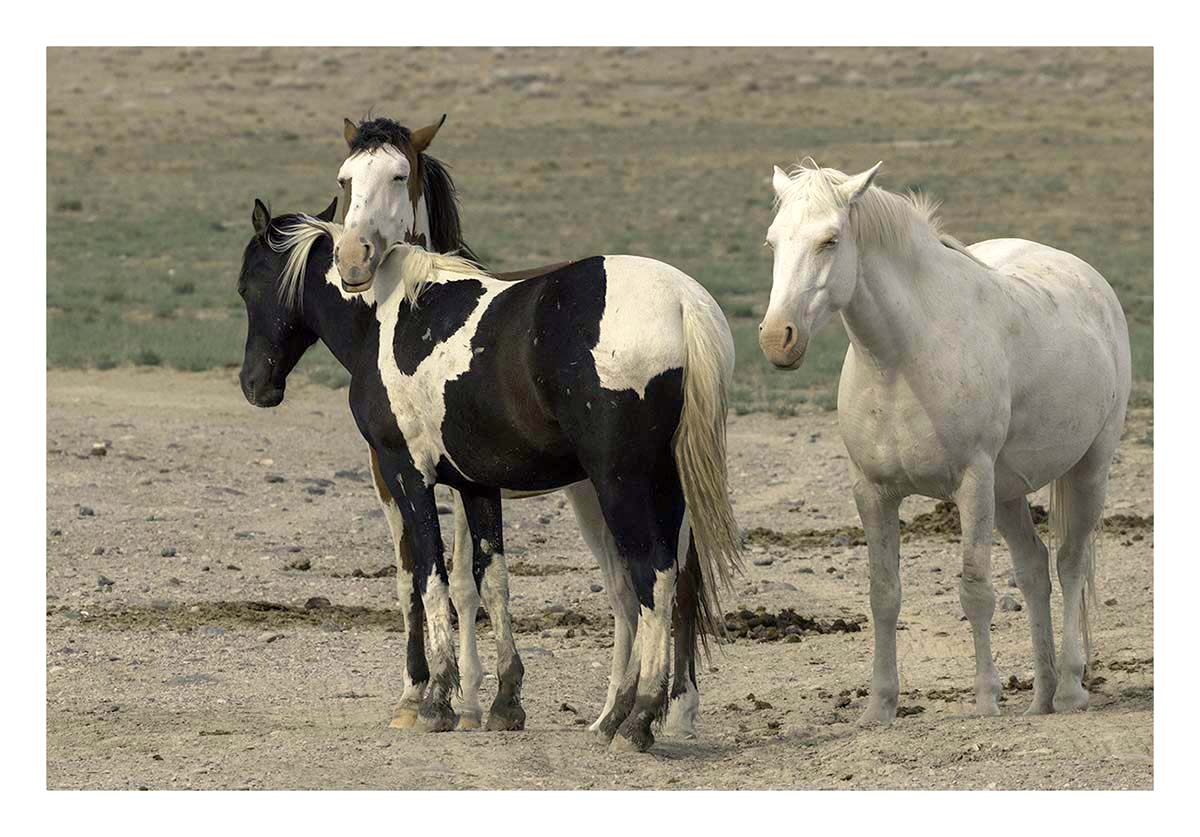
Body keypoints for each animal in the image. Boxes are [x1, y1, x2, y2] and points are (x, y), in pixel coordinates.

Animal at [308, 115, 741, 752]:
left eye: (398, 174)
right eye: (345, 177)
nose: (353, 258)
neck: (414, 303)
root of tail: (683, 301)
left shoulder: (406, 473)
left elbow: (432, 579)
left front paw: (437, 701)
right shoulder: (474, 485)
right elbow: (483, 581)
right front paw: (493, 703)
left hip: (621, 483)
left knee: (654, 579)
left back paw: (638, 718)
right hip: (668, 483)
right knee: (663, 584)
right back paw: (636, 714)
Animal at [758, 159, 1131, 721]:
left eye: (830, 240)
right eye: (773, 242)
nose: (776, 338)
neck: (899, 361)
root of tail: (1092, 281)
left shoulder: (972, 484)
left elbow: (975, 589)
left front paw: (985, 700)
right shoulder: (872, 492)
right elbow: (883, 594)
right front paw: (880, 706)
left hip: (1088, 469)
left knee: (1069, 564)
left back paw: (1068, 688)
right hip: (1008, 492)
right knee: (1034, 570)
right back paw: (1040, 697)